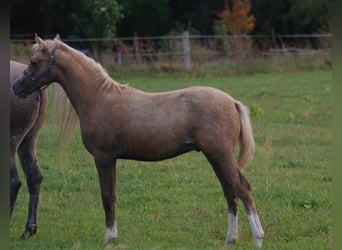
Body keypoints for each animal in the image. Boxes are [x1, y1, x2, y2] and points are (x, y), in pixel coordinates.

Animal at [13, 34, 264, 247]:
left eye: (34, 61)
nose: (16, 87)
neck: (99, 97)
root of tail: (232, 102)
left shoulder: (104, 157)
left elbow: (107, 196)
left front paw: (109, 237)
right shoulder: (110, 159)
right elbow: (112, 195)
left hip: (220, 155)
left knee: (243, 189)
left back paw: (258, 238)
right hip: (216, 157)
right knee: (230, 192)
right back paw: (231, 239)